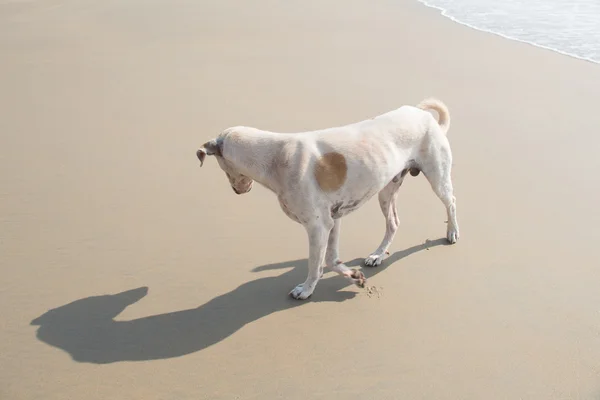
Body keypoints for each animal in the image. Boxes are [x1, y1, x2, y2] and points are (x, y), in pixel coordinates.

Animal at [197, 97, 460, 300]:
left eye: (223, 168)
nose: (237, 191)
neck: (275, 157)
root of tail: (424, 115)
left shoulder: (318, 226)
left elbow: (316, 264)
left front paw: (306, 290)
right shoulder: (333, 220)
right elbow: (332, 260)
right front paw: (354, 277)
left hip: (437, 178)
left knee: (451, 202)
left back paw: (452, 232)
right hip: (386, 190)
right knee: (393, 223)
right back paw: (377, 255)